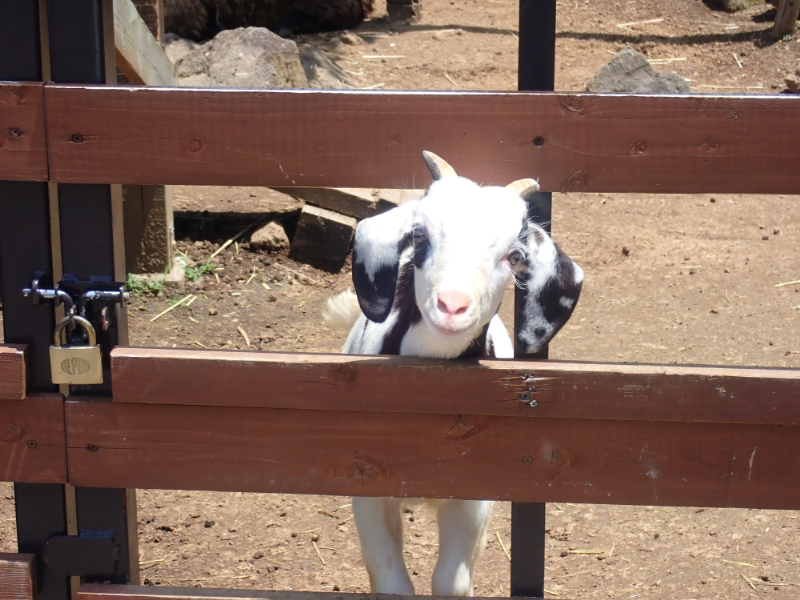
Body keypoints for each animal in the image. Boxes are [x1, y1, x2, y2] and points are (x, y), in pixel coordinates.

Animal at [324, 151, 580, 596]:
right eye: (419, 235)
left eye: (514, 256)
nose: (452, 305)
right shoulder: (366, 483)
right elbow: (391, 581)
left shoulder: (474, 495)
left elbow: (451, 581)